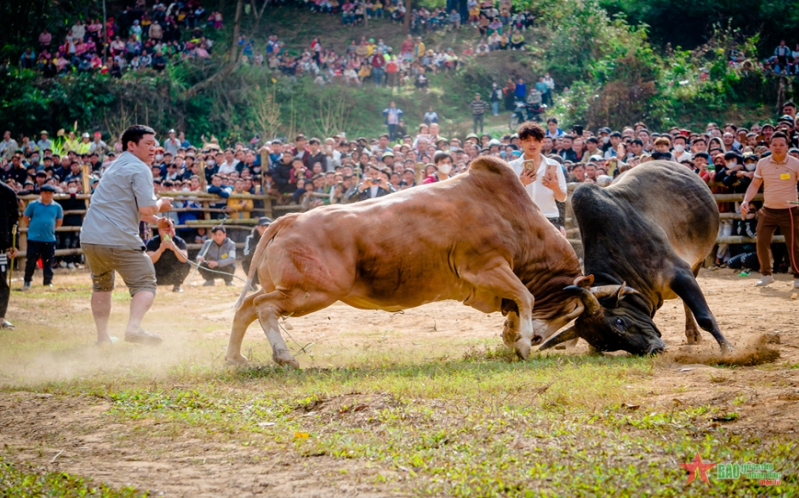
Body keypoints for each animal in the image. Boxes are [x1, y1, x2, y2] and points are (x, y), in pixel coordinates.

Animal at [228, 158, 584, 368]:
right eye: (569, 310)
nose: (538, 339)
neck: (515, 219)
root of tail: (289, 219)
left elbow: (518, 301)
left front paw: (513, 335)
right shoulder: (486, 267)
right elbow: (526, 295)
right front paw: (522, 343)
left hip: (295, 290)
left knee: (246, 307)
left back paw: (237, 359)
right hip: (311, 293)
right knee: (262, 306)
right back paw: (284, 357)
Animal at [540, 160, 736, 354]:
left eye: (620, 322)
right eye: (608, 345)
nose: (654, 350)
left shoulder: (680, 273)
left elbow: (705, 317)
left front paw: (728, 349)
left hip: (696, 263)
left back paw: (692, 334)